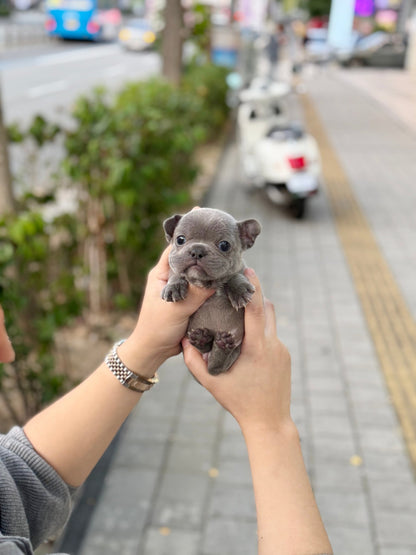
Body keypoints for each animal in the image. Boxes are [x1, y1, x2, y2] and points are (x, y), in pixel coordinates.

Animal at [162, 210, 260, 378]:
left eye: (224, 245)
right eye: (180, 239)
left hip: (235, 351)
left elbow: (235, 276)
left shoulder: (241, 269)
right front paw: (174, 287)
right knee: (205, 350)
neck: (207, 283)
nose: (197, 250)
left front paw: (239, 290)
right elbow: (175, 274)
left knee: (216, 367)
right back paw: (202, 339)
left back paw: (222, 346)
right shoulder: (173, 269)